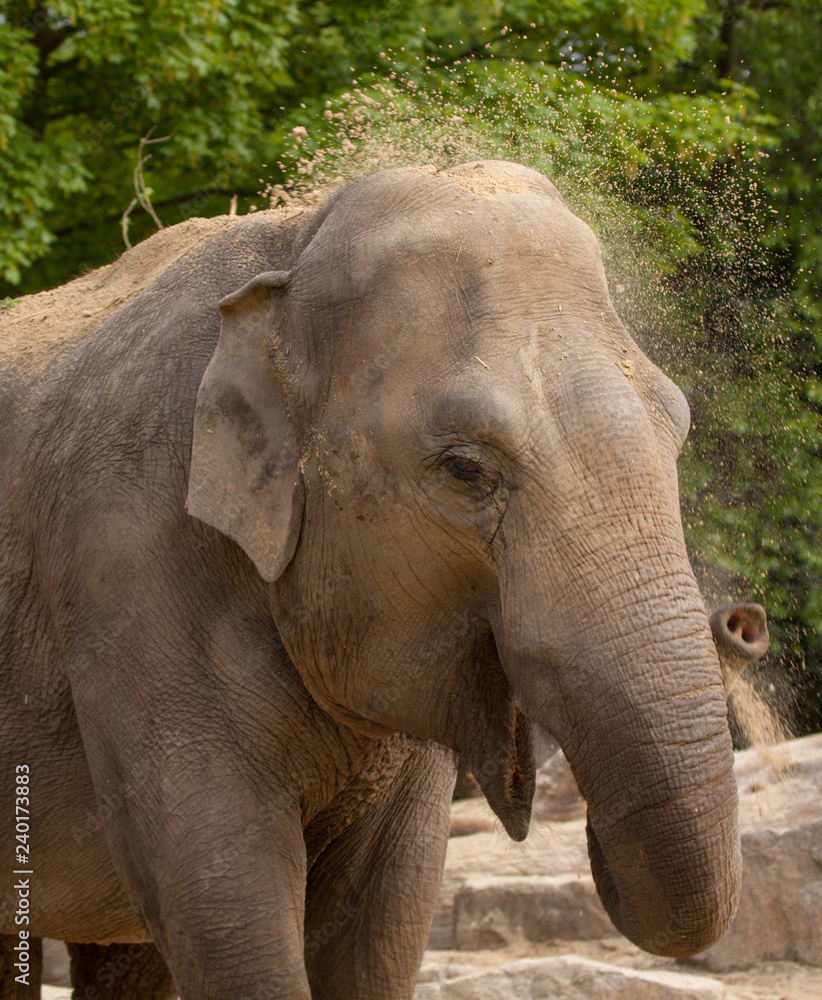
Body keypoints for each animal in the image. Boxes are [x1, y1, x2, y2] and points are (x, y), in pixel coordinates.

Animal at [0, 159, 755, 999]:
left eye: (677, 429)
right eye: (465, 469)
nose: (739, 623)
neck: (293, 246)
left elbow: (377, 924)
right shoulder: (122, 558)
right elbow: (225, 899)